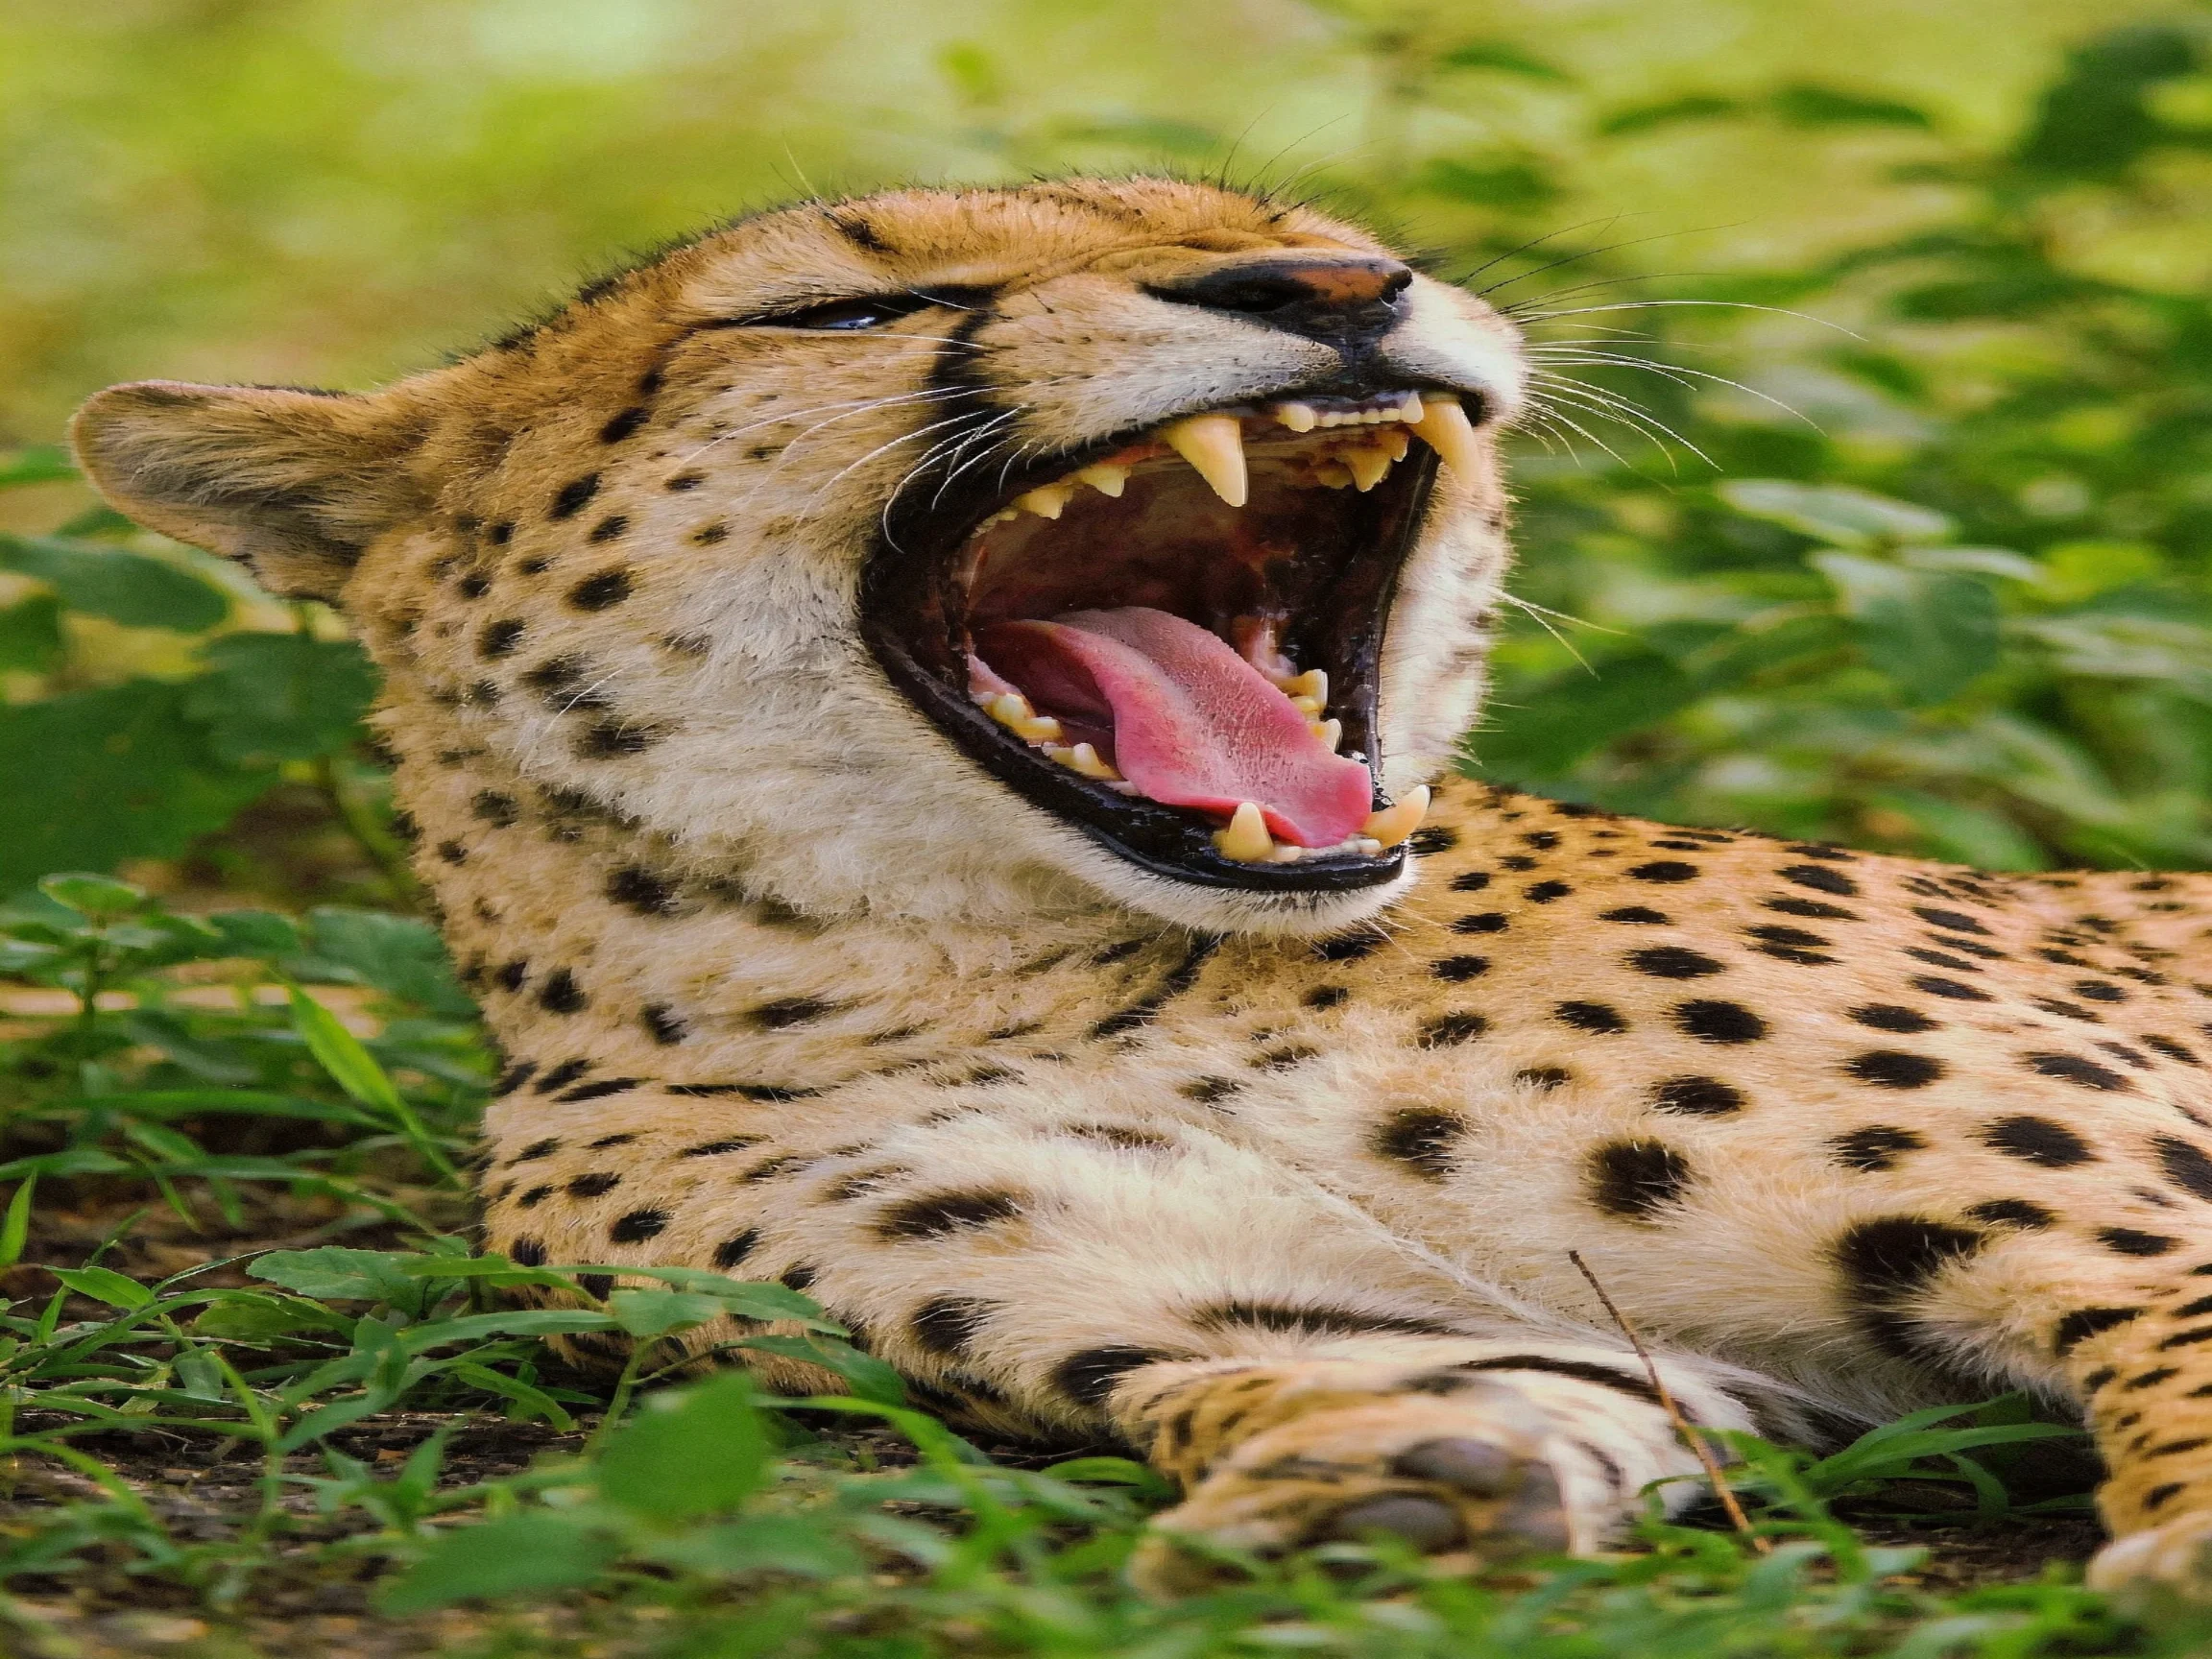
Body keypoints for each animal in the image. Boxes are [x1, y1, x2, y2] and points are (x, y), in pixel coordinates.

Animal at [68, 176, 2212, 1600]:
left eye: (1317, 224)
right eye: (835, 313)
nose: (1340, 287)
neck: (963, 965)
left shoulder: (2125, 1205)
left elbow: (2171, 1329)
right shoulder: (1294, 1306)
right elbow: (1396, 1374)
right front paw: (1390, 1477)